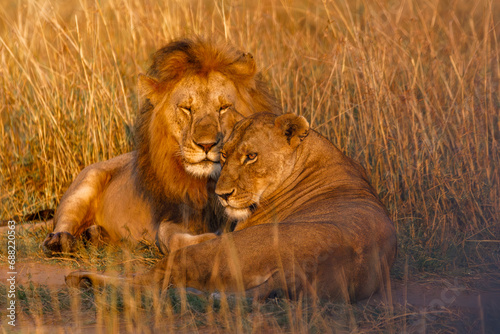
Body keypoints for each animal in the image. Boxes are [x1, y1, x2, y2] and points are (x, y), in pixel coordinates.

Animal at [42, 36, 278, 254]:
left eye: (224, 107)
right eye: (186, 109)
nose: (206, 145)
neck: (207, 183)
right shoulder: (176, 214)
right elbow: (169, 237)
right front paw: (213, 239)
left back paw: (95, 235)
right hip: (85, 183)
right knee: (64, 222)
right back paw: (61, 240)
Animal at [66, 111, 396, 300]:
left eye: (251, 156)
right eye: (224, 155)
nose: (222, 195)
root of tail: (296, 273)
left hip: (211, 254)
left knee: (148, 284)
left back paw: (82, 279)